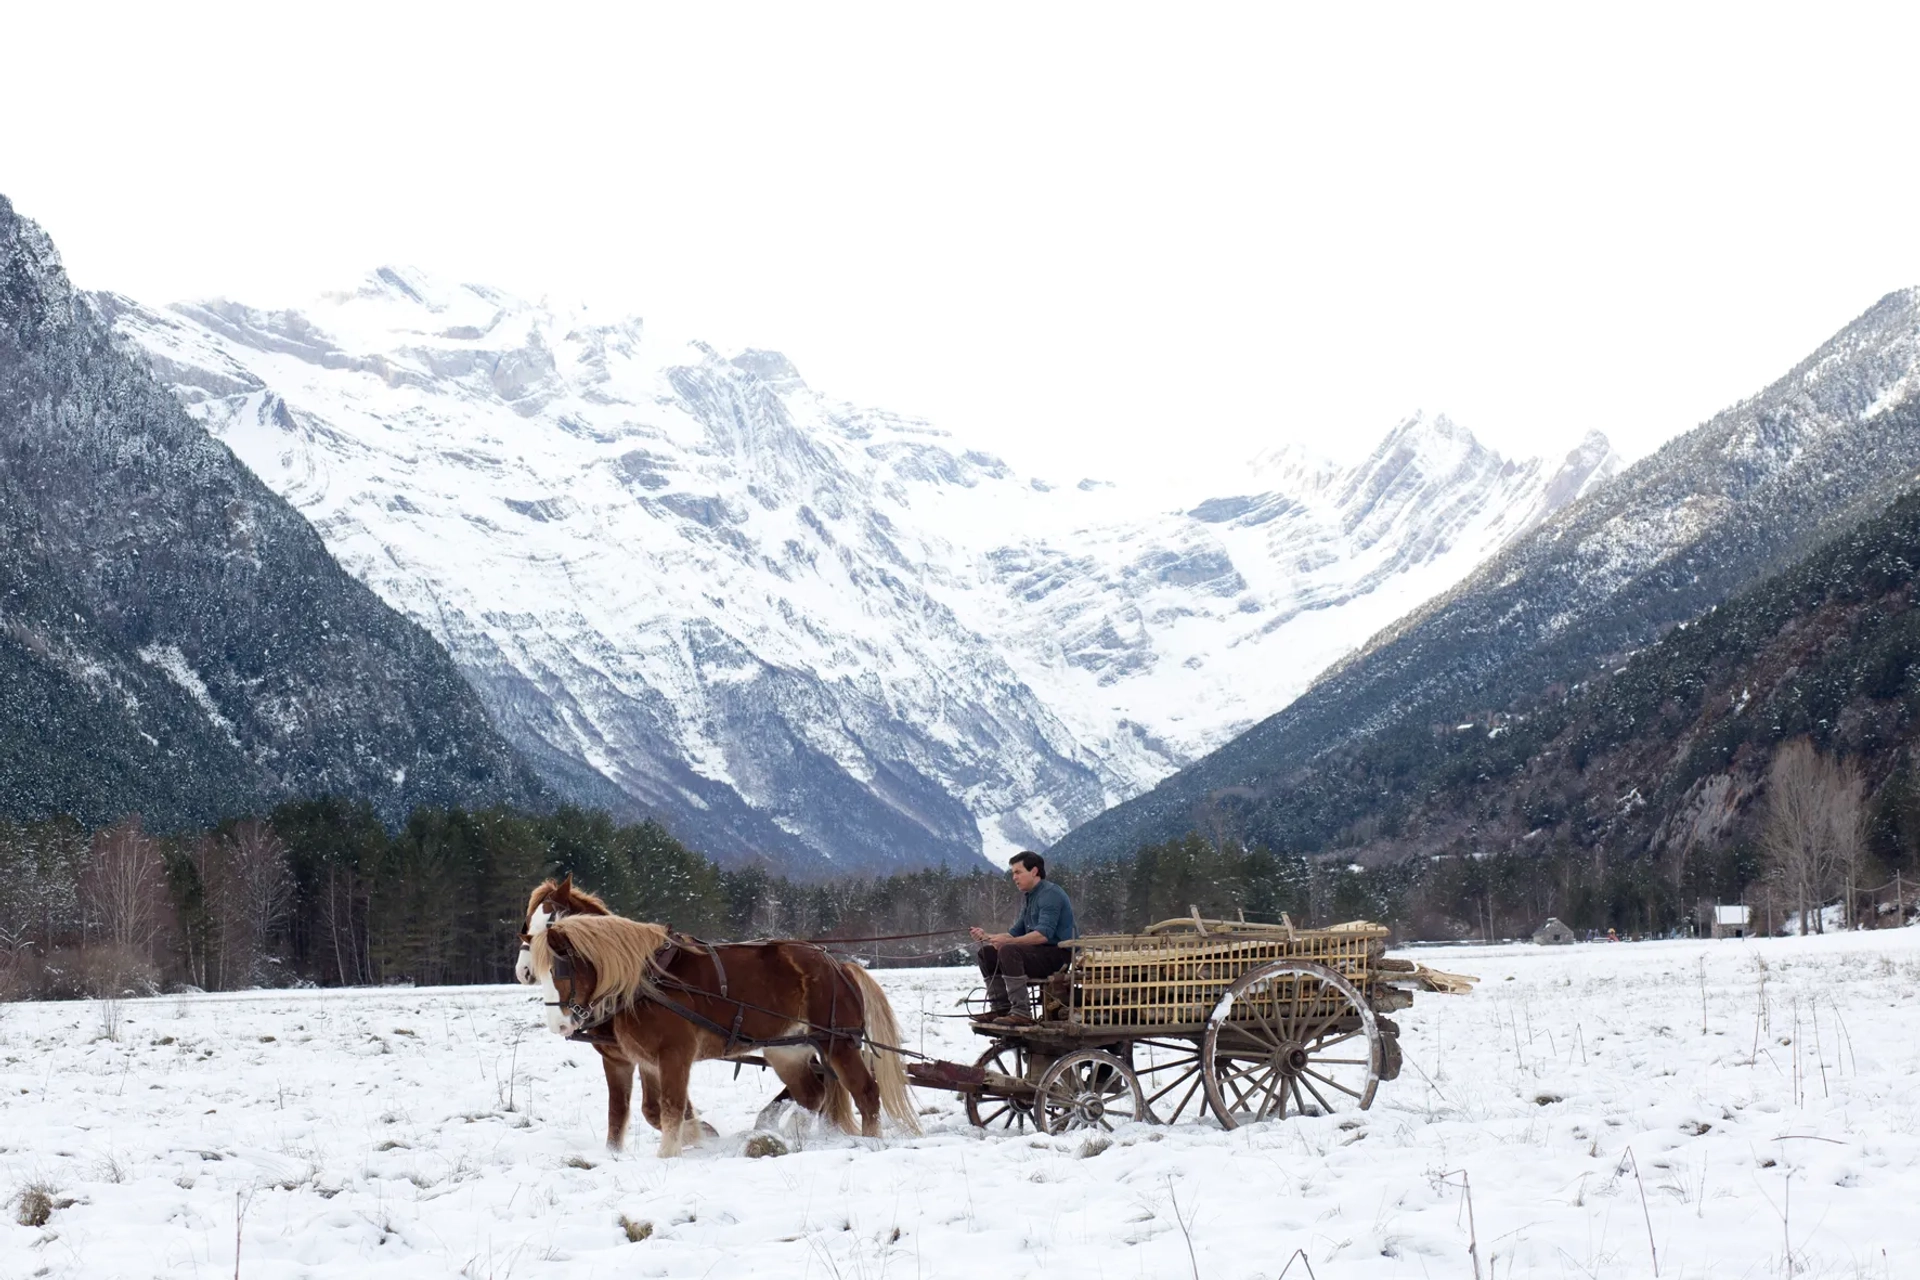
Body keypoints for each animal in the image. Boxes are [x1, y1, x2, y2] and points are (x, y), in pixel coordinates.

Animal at [514, 875, 917, 1159]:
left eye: (559, 963)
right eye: (526, 927)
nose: (523, 972)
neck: (642, 979)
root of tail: (841, 966)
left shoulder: (674, 1054)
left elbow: (671, 1108)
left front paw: (674, 1151)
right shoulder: (632, 1059)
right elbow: (631, 1112)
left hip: (838, 1042)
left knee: (866, 1092)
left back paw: (867, 1143)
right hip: (789, 1050)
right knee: (813, 1093)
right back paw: (795, 1133)